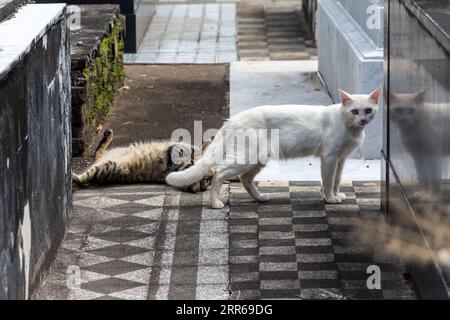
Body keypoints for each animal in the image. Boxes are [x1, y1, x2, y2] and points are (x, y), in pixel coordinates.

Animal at [73, 129, 214, 192]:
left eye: (206, 180)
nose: (207, 177)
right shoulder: (179, 149)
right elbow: (185, 149)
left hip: (108, 166)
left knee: (84, 176)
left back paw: (72, 175)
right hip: (111, 155)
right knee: (97, 153)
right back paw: (108, 135)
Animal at [167, 89, 382, 209]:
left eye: (368, 110)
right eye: (354, 111)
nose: (363, 120)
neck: (351, 129)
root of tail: (233, 118)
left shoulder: (341, 159)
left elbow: (337, 181)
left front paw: (337, 195)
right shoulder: (329, 158)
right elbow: (328, 182)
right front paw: (330, 199)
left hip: (258, 159)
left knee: (244, 179)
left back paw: (260, 198)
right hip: (246, 158)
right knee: (219, 174)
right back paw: (214, 203)